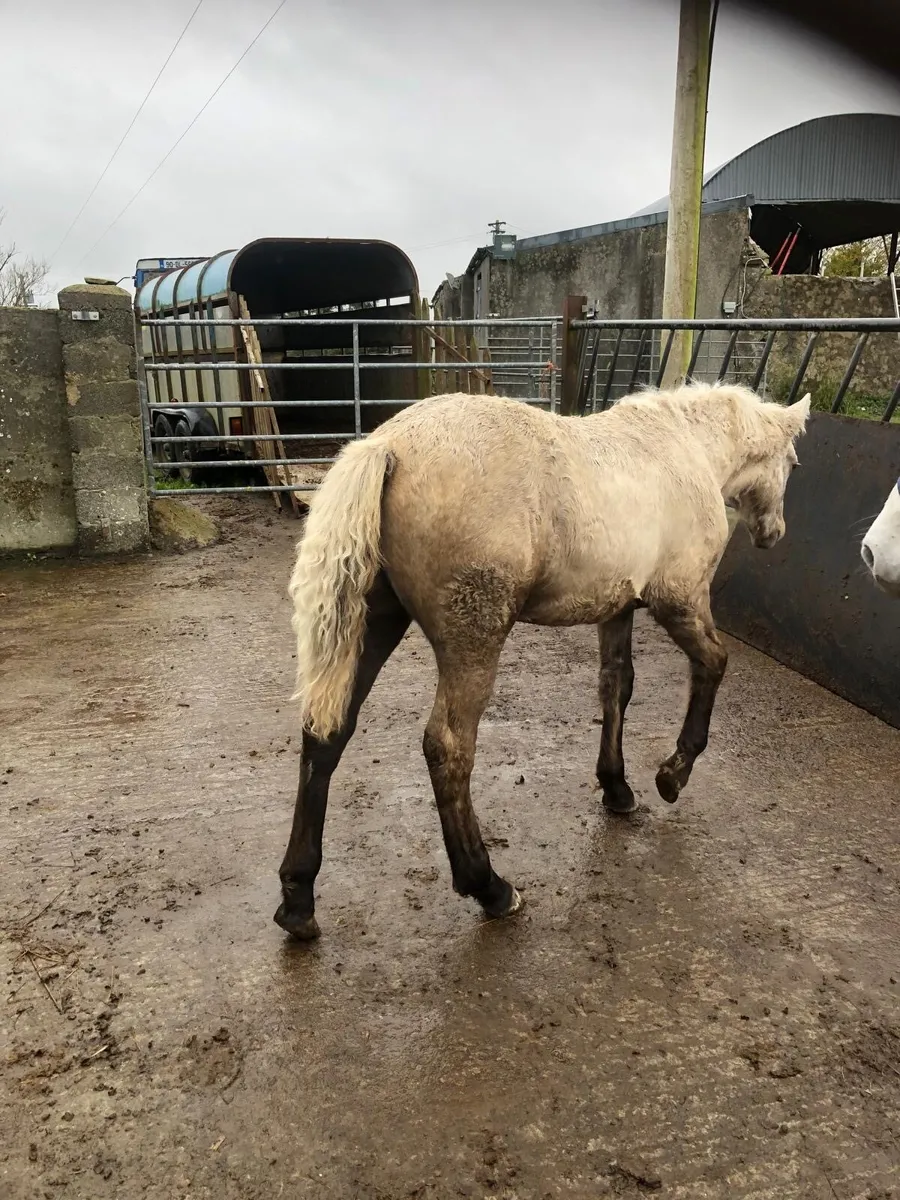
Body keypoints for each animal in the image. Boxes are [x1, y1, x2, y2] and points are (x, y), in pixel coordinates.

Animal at [275, 382, 810, 939]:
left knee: (327, 733)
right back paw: (489, 886)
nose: (774, 532)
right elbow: (714, 664)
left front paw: (617, 787)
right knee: (448, 748)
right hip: (474, 640)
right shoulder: (679, 599)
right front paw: (672, 775)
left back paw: (298, 898)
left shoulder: (618, 609)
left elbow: (617, 686)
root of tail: (389, 445)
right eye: (793, 462)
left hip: (374, 623)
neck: (684, 446)